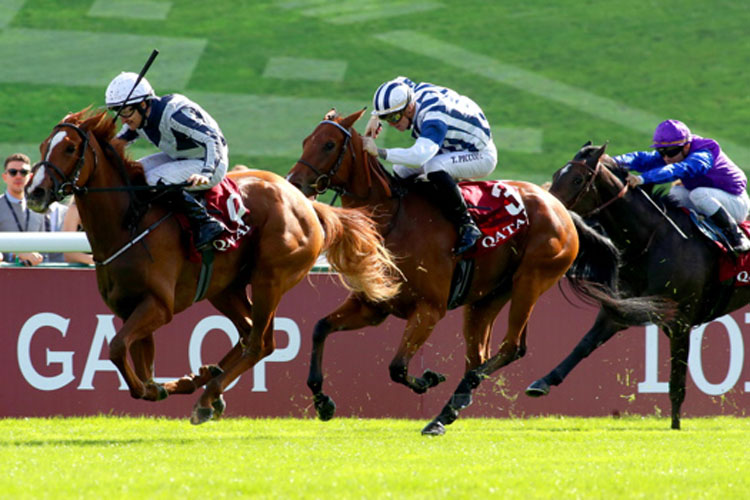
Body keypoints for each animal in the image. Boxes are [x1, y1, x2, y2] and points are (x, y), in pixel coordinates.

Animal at [26, 108, 402, 422]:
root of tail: (306, 203)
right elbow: (142, 366)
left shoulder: (158, 306)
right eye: (44, 146)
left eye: (70, 149)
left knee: (260, 342)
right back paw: (207, 382)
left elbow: (118, 350)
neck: (129, 223)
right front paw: (171, 383)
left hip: (270, 278)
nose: (34, 192)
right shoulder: (132, 308)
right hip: (224, 287)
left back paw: (208, 396)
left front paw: (161, 387)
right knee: (249, 332)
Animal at [284, 108, 660, 434]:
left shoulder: (429, 309)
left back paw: (459, 398)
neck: (393, 219)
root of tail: (560, 208)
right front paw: (322, 402)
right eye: (305, 140)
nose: (293, 183)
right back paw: (446, 412)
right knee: (479, 355)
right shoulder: (372, 305)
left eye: (328, 144)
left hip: (530, 281)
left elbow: (398, 367)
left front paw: (428, 379)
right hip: (486, 299)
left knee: (511, 348)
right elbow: (319, 328)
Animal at [524, 144, 748, 430]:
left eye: (577, 179)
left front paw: (675, 425)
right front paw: (542, 382)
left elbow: (677, 379)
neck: (654, 241)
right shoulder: (621, 308)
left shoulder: (681, 321)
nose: (548, 210)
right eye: (555, 174)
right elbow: (584, 344)